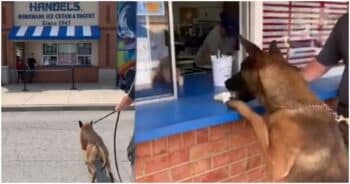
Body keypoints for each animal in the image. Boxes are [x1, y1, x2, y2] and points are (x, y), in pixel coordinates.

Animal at [224, 36, 348, 183]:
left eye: (242, 68)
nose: (225, 82)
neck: (292, 104)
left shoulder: (276, 165)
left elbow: (257, 120)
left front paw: (238, 105)